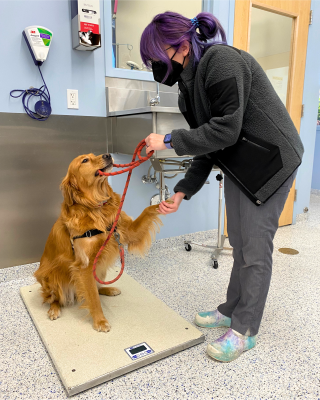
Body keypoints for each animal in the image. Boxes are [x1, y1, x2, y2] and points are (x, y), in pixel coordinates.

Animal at [34, 152, 164, 332]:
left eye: (93, 154)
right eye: (85, 160)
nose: (108, 154)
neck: (96, 206)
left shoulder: (128, 231)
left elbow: (147, 210)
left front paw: (168, 201)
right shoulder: (85, 265)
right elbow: (93, 298)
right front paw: (100, 321)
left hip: (101, 267)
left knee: (97, 286)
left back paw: (109, 289)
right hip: (50, 276)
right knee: (55, 298)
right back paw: (54, 309)